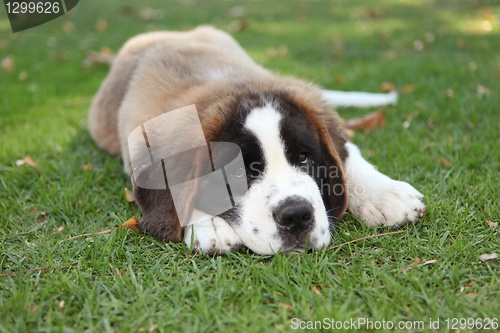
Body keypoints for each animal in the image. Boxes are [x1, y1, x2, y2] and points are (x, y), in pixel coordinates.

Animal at [89, 26, 426, 254]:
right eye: (238, 172)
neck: (230, 84)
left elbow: (347, 153)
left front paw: (385, 194)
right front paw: (209, 222)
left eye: (304, 157)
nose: (297, 215)